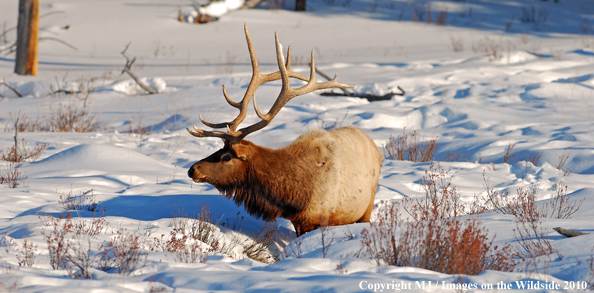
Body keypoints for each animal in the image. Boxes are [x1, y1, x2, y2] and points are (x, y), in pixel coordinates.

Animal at [185, 24, 382, 236]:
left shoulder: (319, 218)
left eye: (226, 157)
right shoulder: (298, 222)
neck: (292, 197)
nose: (192, 169)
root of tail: (376, 148)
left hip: (367, 204)